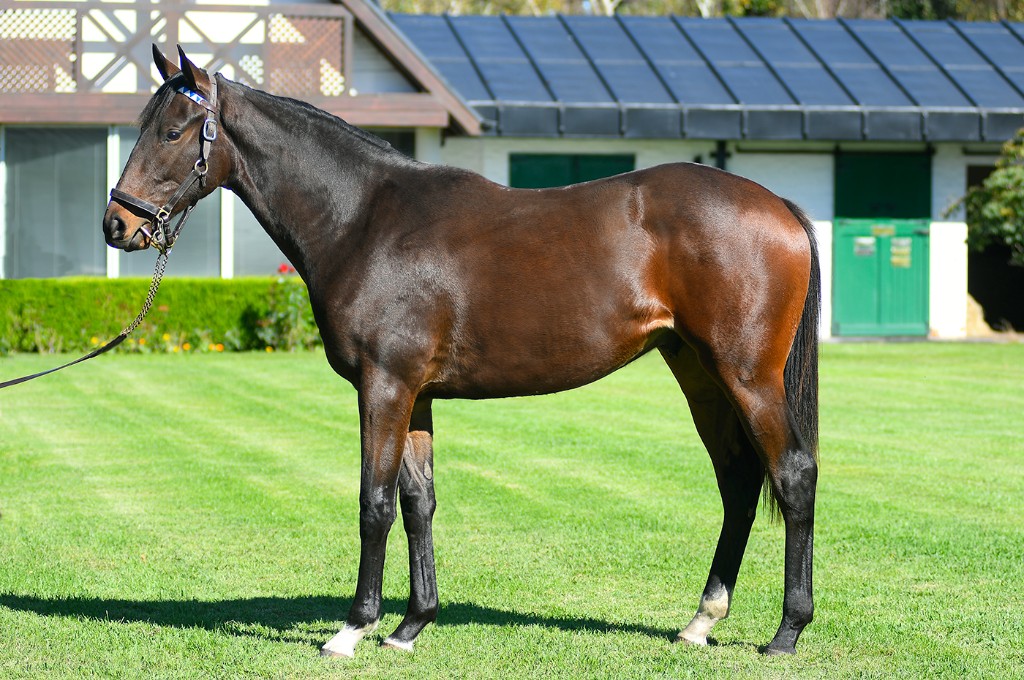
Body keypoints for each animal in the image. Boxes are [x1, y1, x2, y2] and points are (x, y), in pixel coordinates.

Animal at [103, 46, 820, 658]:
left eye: (173, 131)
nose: (118, 224)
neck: (365, 219)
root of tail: (777, 205)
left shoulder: (384, 387)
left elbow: (374, 502)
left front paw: (353, 628)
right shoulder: (415, 395)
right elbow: (418, 503)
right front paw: (409, 626)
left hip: (747, 375)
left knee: (792, 474)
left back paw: (786, 631)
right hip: (697, 373)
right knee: (738, 480)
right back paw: (701, 621)